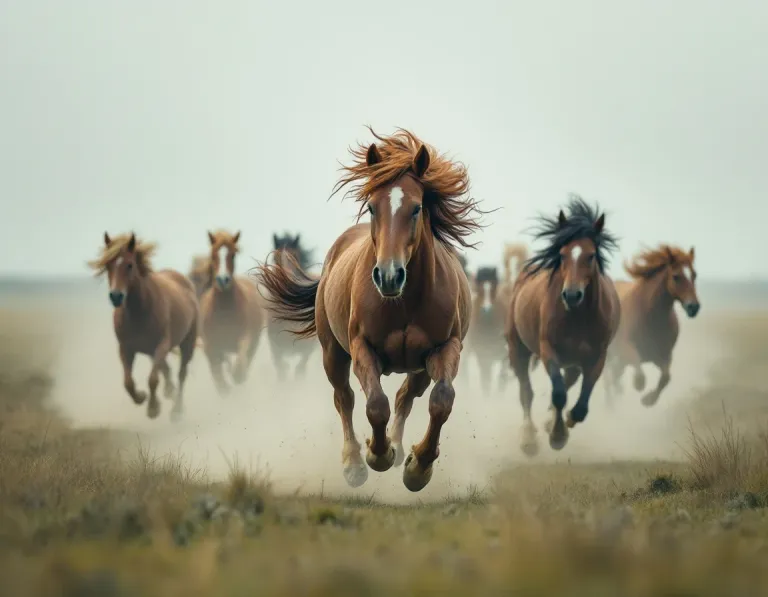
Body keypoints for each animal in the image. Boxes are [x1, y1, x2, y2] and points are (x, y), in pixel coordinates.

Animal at [88, 232, 198, 421]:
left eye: (130, 265)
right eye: (108, 265)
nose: (116, 296)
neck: (139, 312)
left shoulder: (161, 345)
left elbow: (153, 379)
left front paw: (153, 409)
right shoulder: (126, 348)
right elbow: (128, 382)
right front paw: (141, 397)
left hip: (187, 343)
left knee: (181, 374)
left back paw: (177, 410)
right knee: (166, 370)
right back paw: (169, 392)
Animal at [198, 230, 264, 395]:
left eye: (233, 254)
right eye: (213, 255)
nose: (223, 280)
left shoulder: (245, 337)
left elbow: (240, 363)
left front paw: (237, 376)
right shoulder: (209, 345)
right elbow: (217, 374)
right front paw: (224, 387)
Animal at [265, 232, 319, 381]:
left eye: (295, 256)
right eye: (274, 257)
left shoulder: (306, 349)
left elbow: (300, 368)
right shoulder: (275, 348)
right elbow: (281, 369)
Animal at [505, 195, 620, 456]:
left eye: (590, 255)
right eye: (563, 254)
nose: (572, 295)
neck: (578, 317)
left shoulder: (597, 356)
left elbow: (581, 403)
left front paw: (565, 422)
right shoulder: (548, 350)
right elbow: (558, 394)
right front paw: (557, 436)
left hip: (574, 361)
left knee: (568, 382)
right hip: (518, 348)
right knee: (526, 391)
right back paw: (528, 439)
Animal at [604, 245, 700, 407]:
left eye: (694, 274)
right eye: (676, 276)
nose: (693, 307)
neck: (651, 317)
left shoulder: (663, 355)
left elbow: (666, 378)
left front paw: (648, 400)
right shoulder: (627, 349)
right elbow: (639, 376)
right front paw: (638, 386)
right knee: (608, 376)